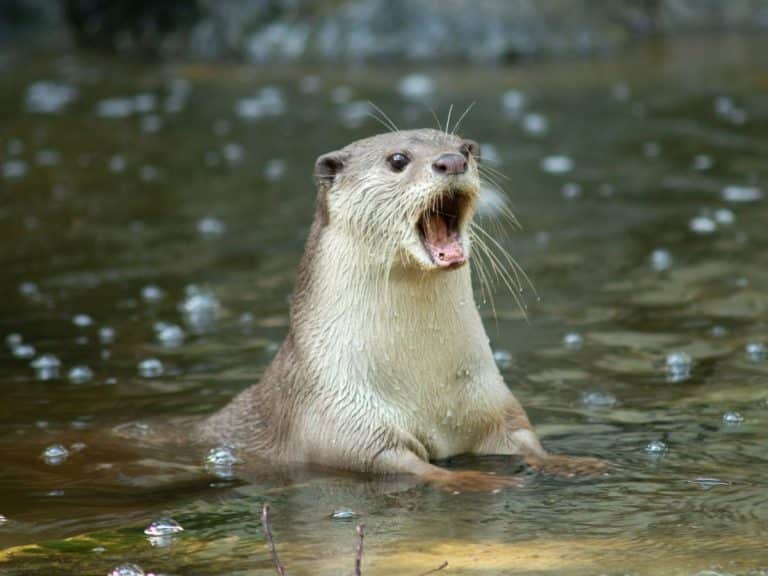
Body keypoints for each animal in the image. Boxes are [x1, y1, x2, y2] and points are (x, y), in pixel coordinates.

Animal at [200, 129, 604, 491]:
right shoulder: (341, 421)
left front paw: (573, 463)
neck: (423, 383)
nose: (452, 161)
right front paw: (475, 479)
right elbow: (406, 465)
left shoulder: (492, 402)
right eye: (397, 160)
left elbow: (523, 438)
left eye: (464, 148)